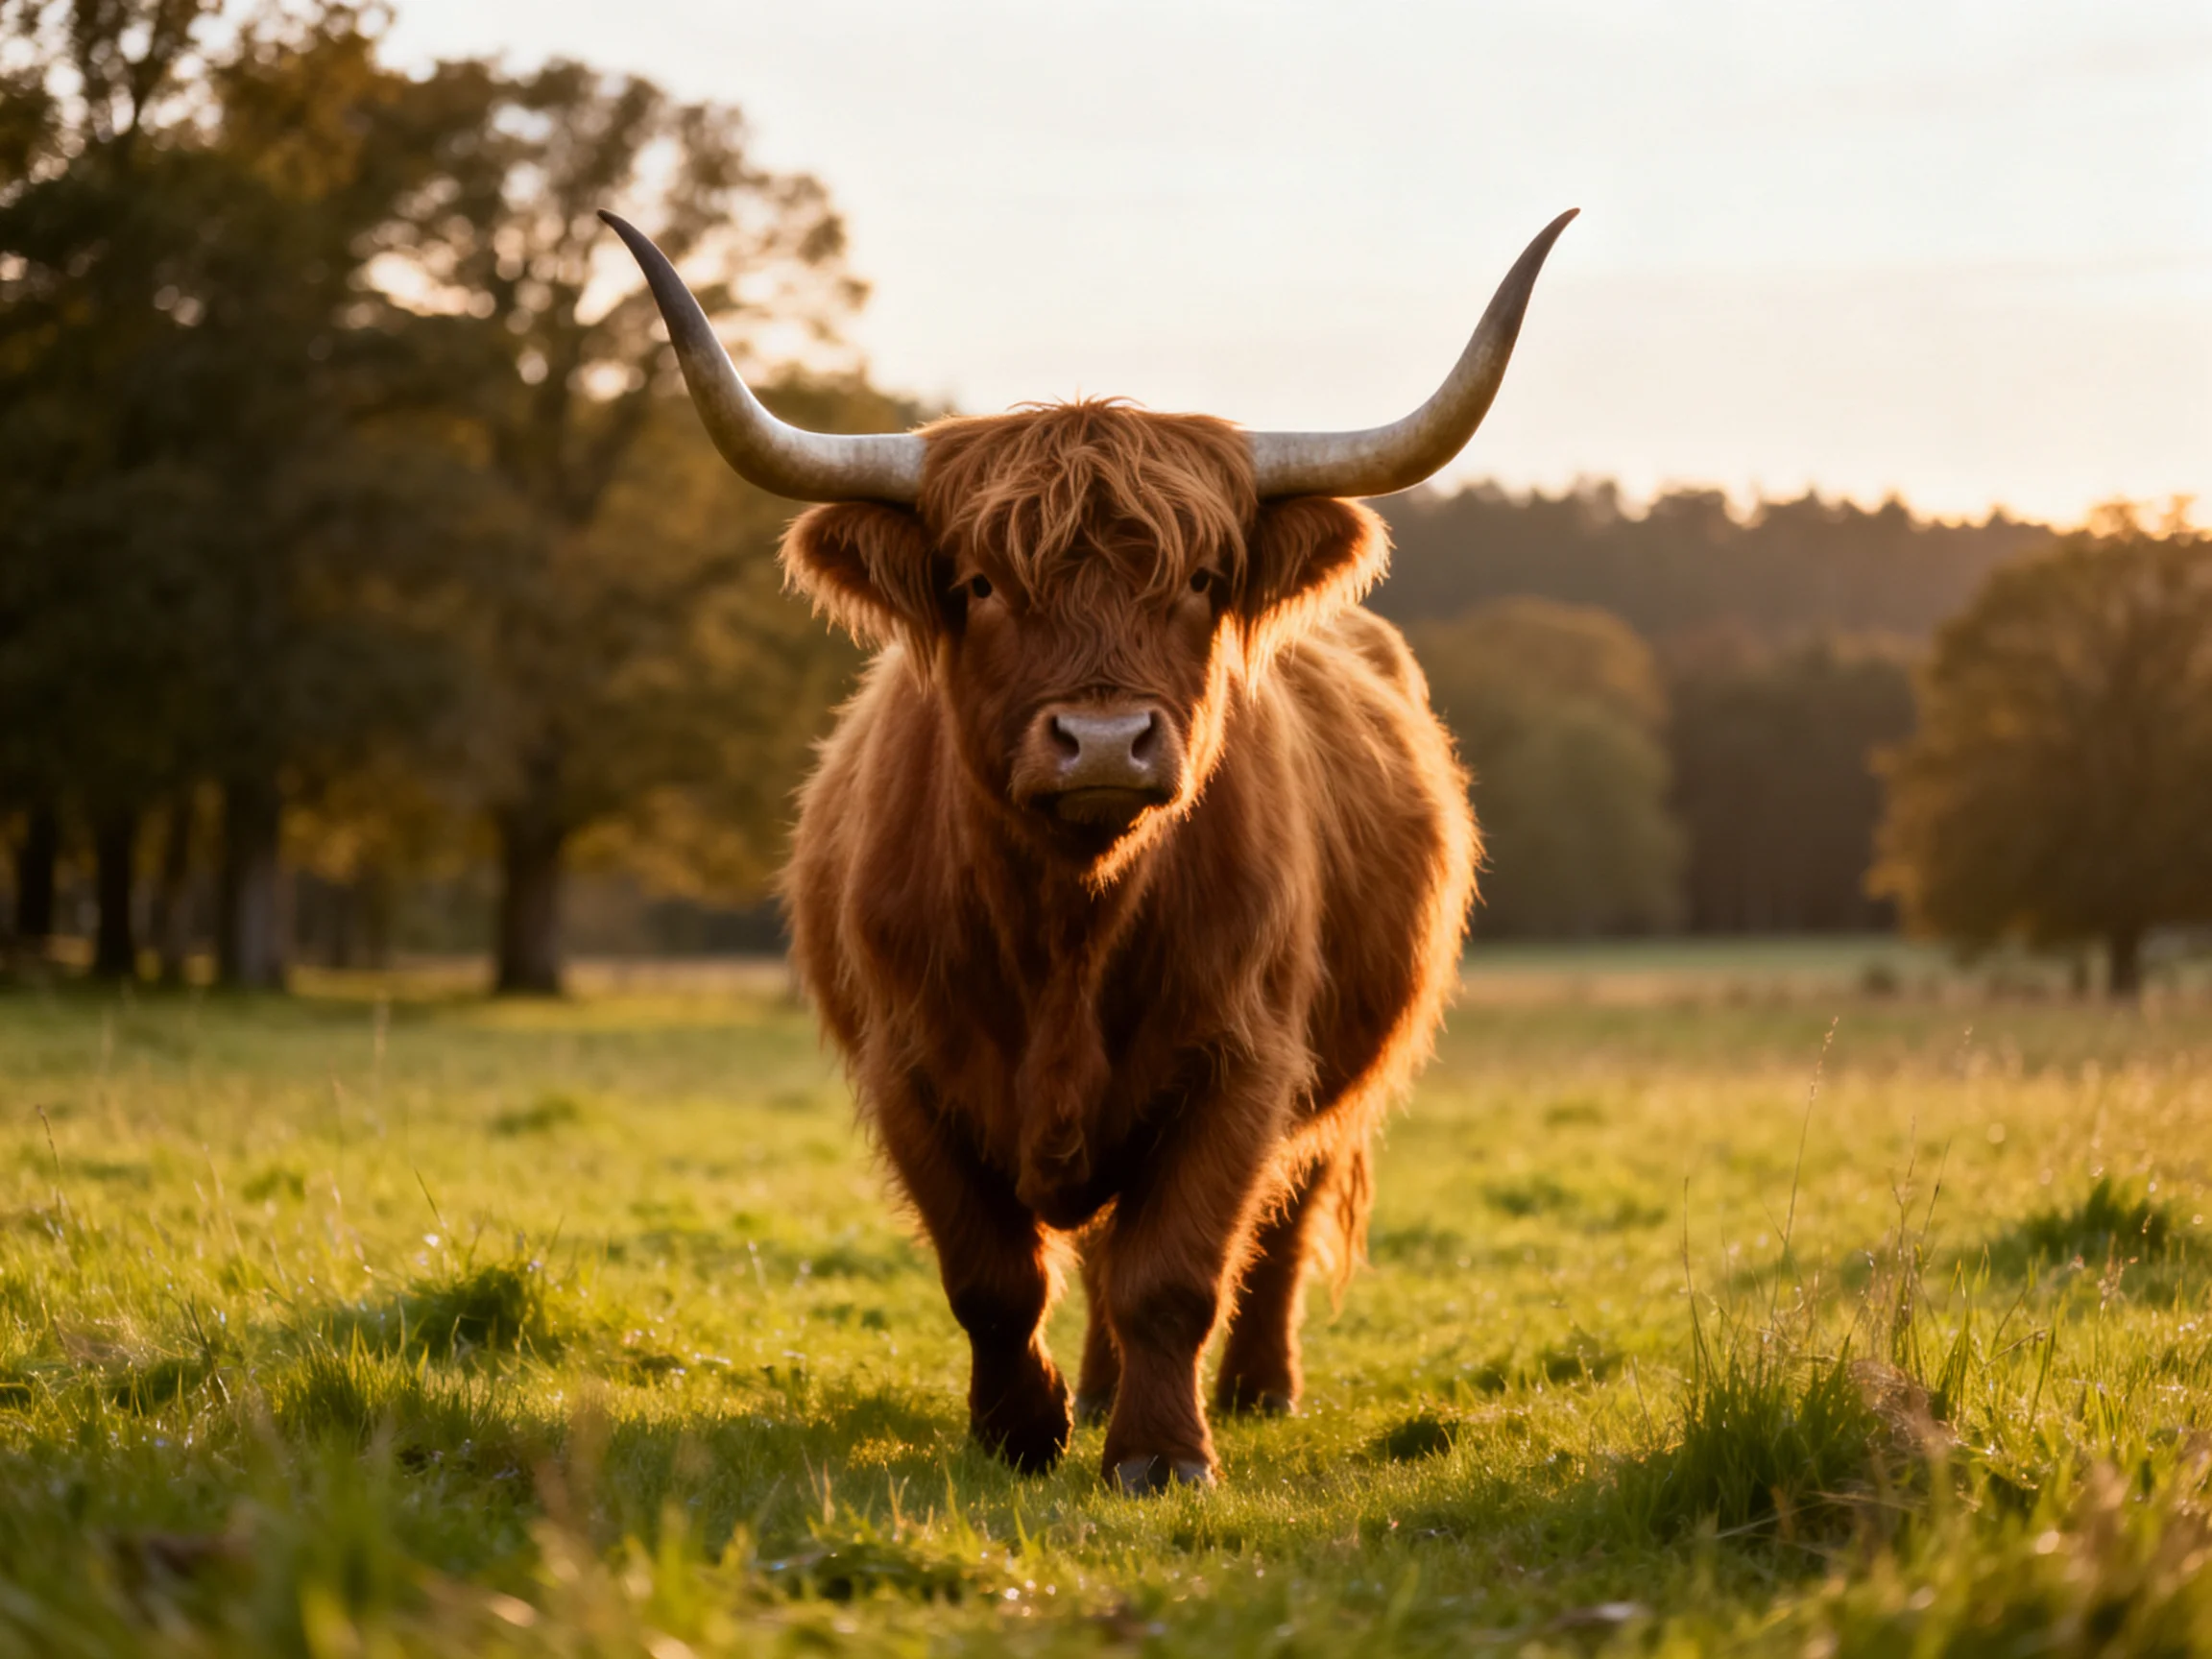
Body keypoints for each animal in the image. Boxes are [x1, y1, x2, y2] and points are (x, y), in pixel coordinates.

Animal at [603, 206, 1575, 1492]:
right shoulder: (909, 1069)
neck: (1067, 925)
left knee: (1273, 1230)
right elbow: (992, 1277)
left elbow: (1178, 1272)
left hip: (1342, 1079)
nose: (1104, 741)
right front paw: (1020, 1433)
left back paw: (1257, 1392)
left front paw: (1162, 1455)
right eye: (978, 584)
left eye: (1203, 579)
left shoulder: (1241, 1060)